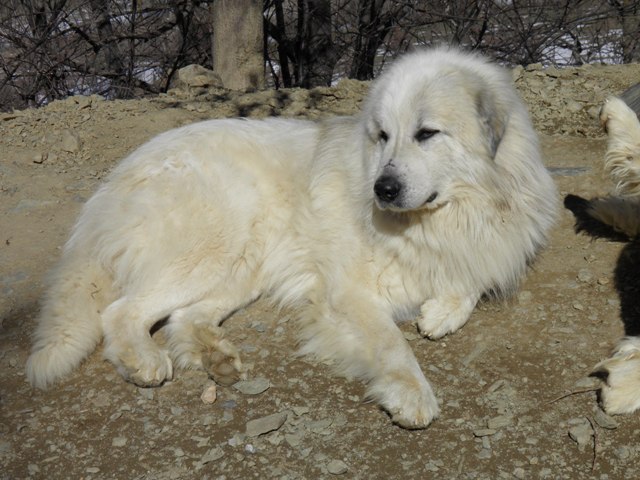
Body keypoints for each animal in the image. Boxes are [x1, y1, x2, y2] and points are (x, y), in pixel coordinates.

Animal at [26, 47, 556, 428]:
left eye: (427, 133)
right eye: (383, 135)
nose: (382, 189)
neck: (452, 214)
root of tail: (112, 182)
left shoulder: (487, 243)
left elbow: (473, 278)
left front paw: (443, 311)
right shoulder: (349, 293)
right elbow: (392, 345)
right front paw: (411, 392)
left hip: (244, 268)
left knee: (183, 316)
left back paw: (216, 357)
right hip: (214, 245)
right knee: (122, 311)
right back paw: (145, 361)